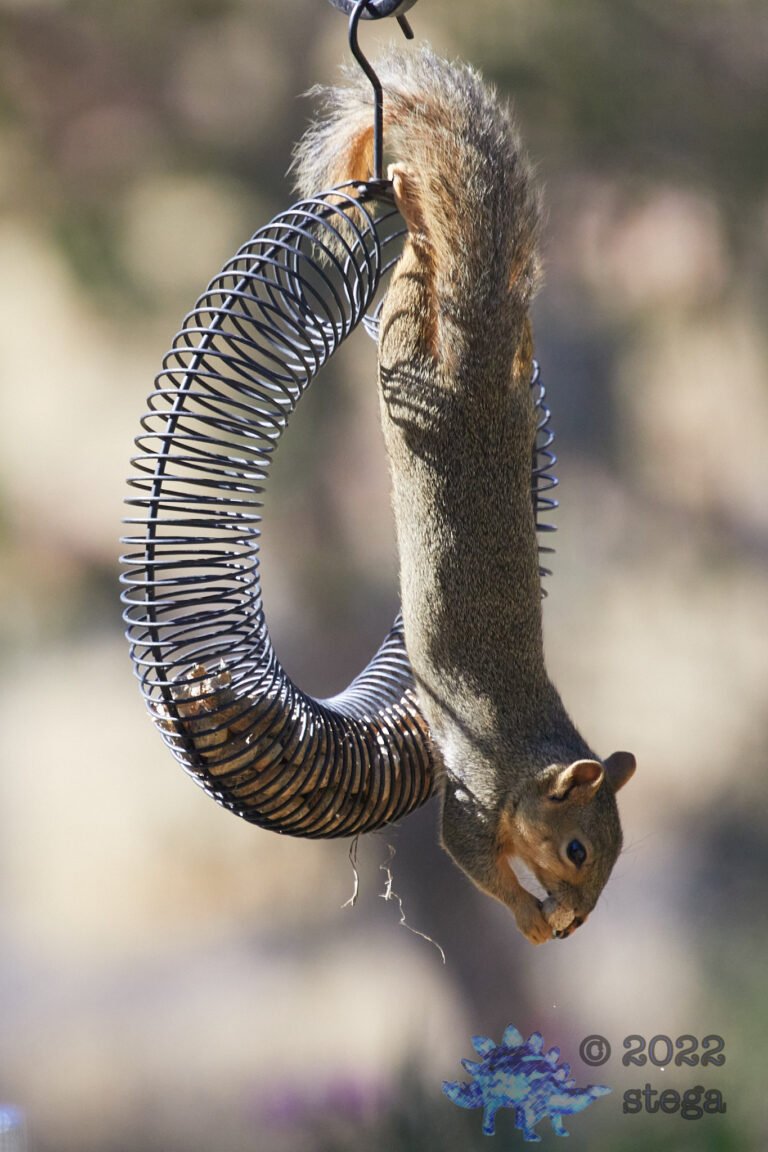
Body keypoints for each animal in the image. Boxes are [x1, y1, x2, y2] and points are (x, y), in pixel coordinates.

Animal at [292, 46, 636, 945]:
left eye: (617, 853)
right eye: (578, 850)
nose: (580, 922)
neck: (527, 758)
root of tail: (477, 371)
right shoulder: (476, 800)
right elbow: (469, 854)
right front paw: (531, 916)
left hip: (504, 384)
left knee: (480, 300)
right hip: (410, 367)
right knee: (416, 283)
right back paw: (409, 197)